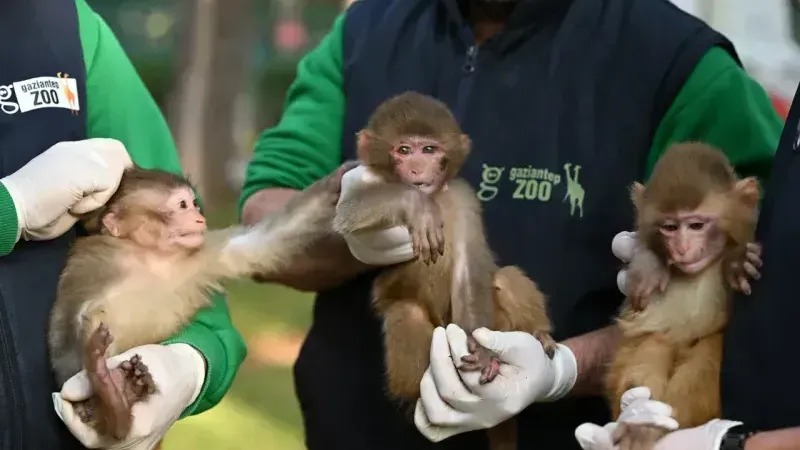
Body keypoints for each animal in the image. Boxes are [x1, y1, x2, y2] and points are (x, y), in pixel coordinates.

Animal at [49, 163, 350, 442]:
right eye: (182, 205)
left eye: (193, 204)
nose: (198, 217)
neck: (152, 257)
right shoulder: (94, 265)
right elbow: (70, 326)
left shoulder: (203, 254)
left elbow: (261, 242)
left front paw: (339, 179)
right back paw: (110, 398)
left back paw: (119, 398)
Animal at [334, 92, 552, 450]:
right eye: (403, 150)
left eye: (429, 149)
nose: (417, 168)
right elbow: (349, 210)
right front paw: (415, 206)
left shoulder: (463, 197)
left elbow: (468, 267)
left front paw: (482, 351)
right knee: (406, 312)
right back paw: (420, 397)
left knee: (504, 278)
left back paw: (538, 336)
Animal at [608, 143, 764, 450]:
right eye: (670, 227)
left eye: (696, 226)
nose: (681, 248)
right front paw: (650, 264)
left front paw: (735, 260)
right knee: (654, 342)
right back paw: (642, 421)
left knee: (710, 350)